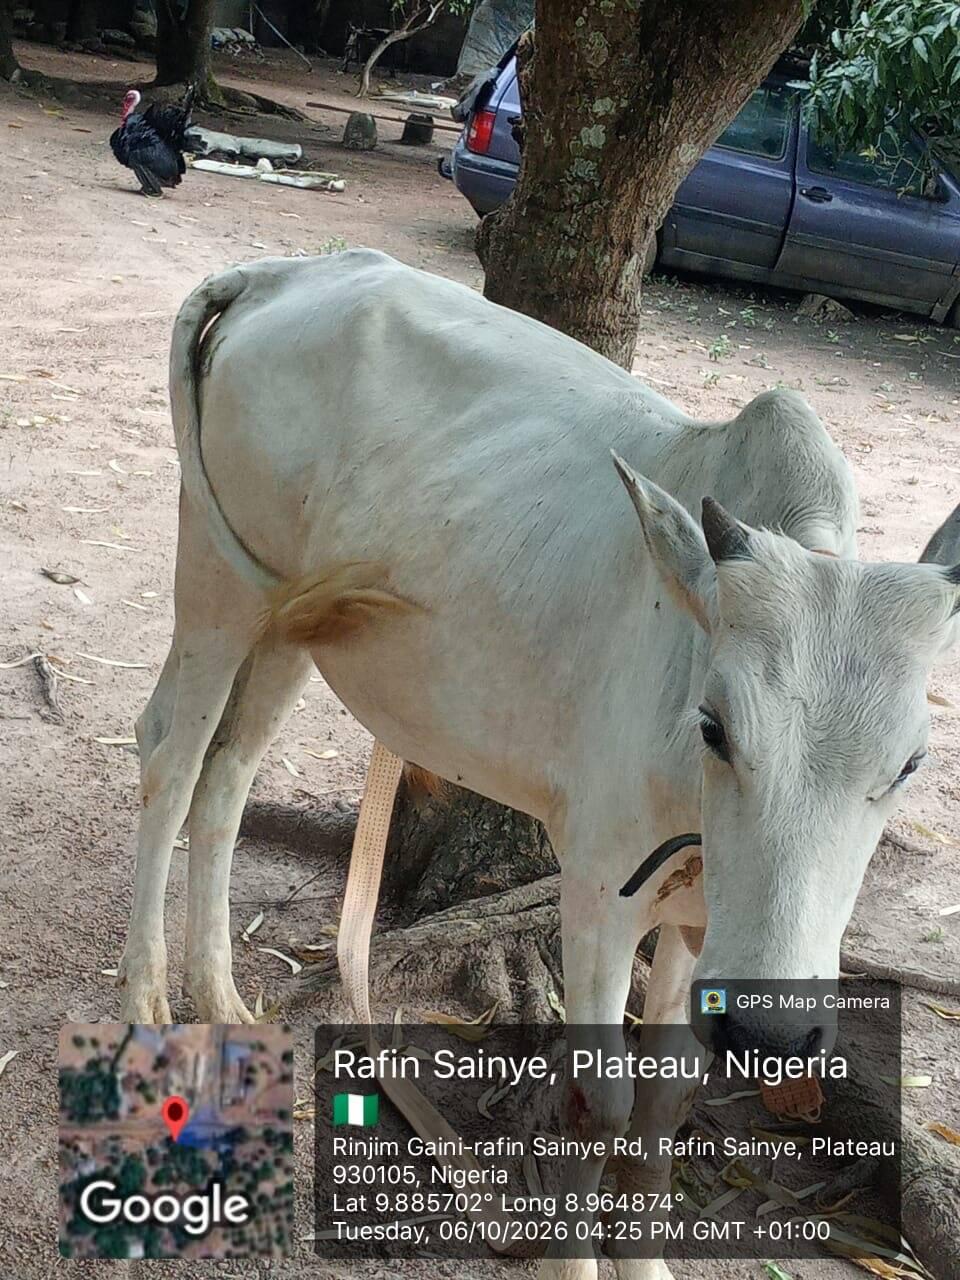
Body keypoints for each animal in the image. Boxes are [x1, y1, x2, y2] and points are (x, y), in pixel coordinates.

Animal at [117, 249, 959, 1280]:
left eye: (911, 763)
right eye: (715, 726)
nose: (772, 1030)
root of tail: (279, 273)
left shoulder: (694, 921)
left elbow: (665, 1099)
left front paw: (646, 1260)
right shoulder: (599, 891)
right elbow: (599, 1104)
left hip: (287, 624)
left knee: (230, 775)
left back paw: (225, 996)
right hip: (219, 585)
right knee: (169, 754)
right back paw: (152, 1003)